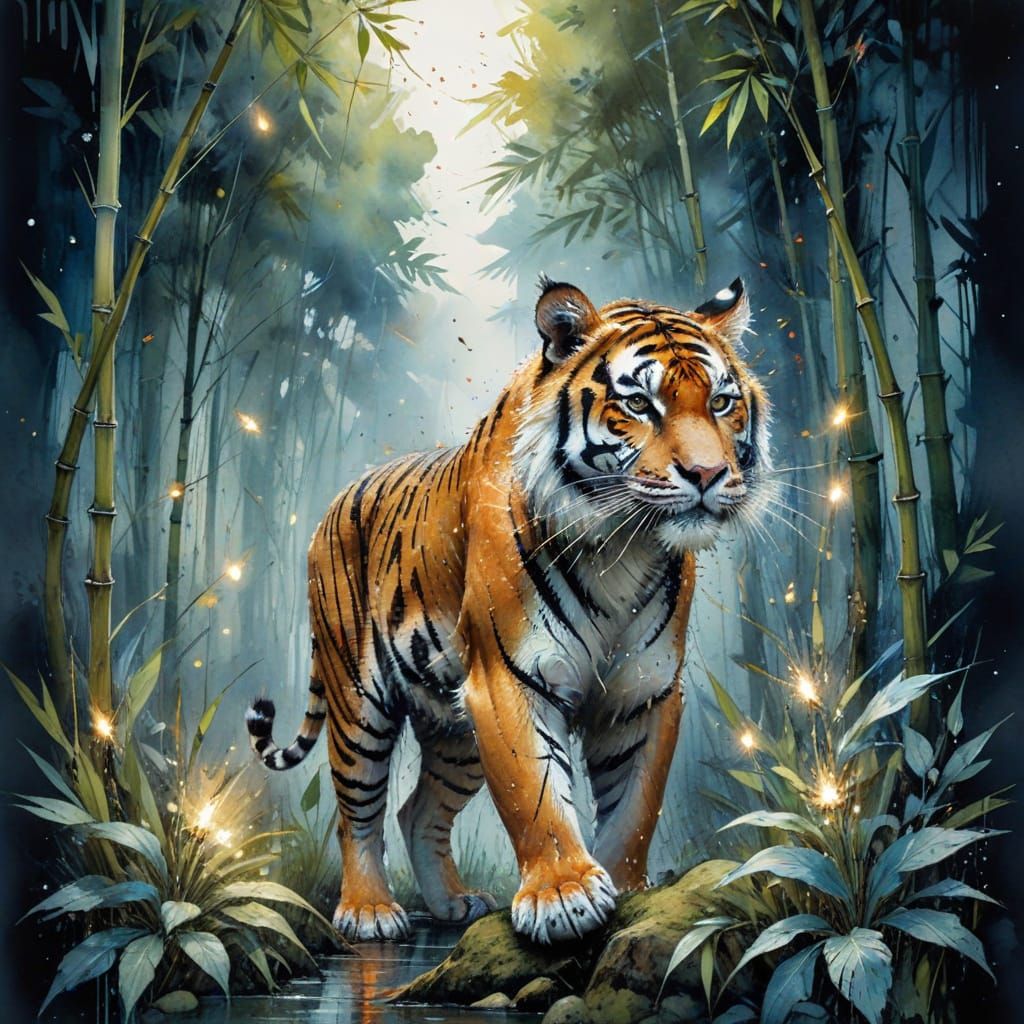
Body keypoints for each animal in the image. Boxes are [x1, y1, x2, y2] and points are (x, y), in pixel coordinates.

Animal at [246, 276, 770, 944]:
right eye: (639, 404)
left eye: (723, 403)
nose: (708, 473)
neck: (623, 546)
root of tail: (338, 498)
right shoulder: (507, 679)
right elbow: (536, 794)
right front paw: (562, 896)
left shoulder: (644, 693)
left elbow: (635, 804)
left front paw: (629, 892)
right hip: (357, 700)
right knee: (356, 811)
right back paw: (369, 910)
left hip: (456, 734)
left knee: (417, 810)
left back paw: (452, 903)